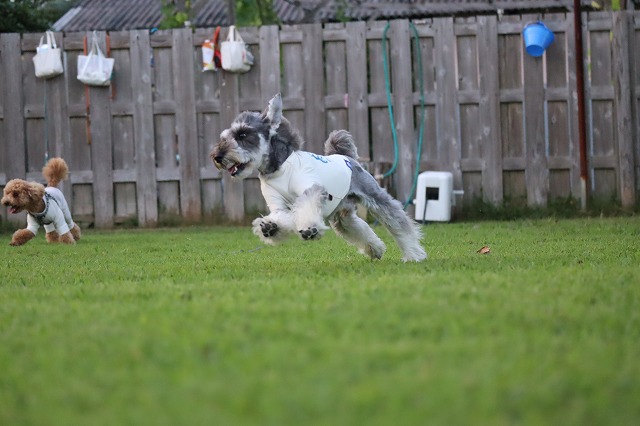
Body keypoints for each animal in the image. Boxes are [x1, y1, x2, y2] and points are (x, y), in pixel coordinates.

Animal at [210, 94, 427, 262]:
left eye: (243, 134)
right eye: (225, 137)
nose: (217, 157)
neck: (278, 168)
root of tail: (345, 156)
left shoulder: (312, 190)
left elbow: (307, 207)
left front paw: (309, 228)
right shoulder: (278, 205)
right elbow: (281, 216)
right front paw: (271, 227)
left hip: (374, 196)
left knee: (398, 223)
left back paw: (414, 254)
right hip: (342, 215)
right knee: (358, 228)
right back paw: (376, 249)